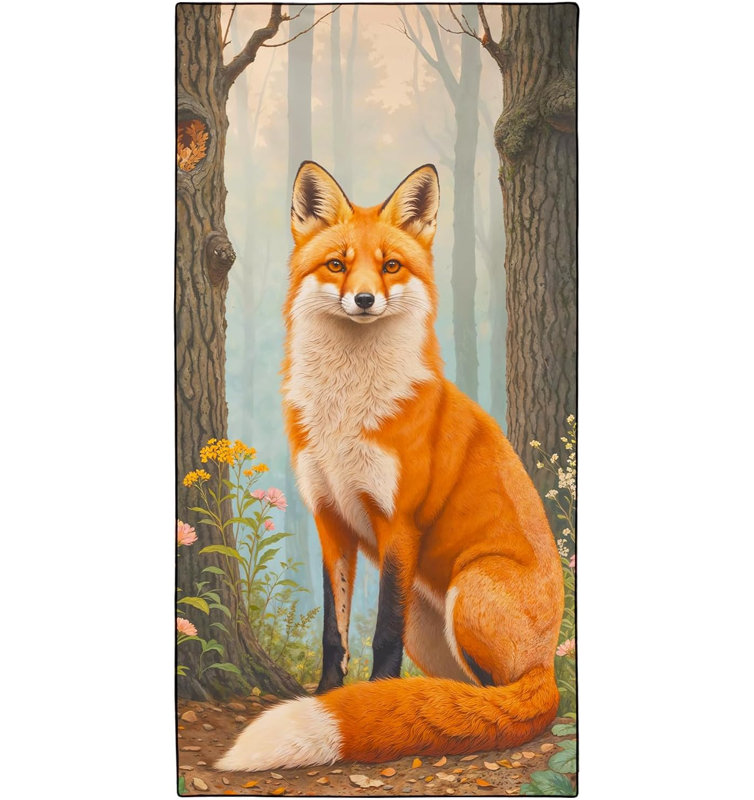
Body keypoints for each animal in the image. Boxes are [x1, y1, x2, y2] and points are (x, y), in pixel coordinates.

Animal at [216, 162, 564, 771]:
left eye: (391, 266)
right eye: (337, 264)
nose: (362, 300)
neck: (346, 413)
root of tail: (548, 669)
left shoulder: (399, 521)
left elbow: (381, 632)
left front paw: (373, 699)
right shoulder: (329, 517)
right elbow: (334, 631)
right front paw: (330, 695)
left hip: (470, 588)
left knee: (504, 701)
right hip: (431, 629)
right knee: (467, 697)